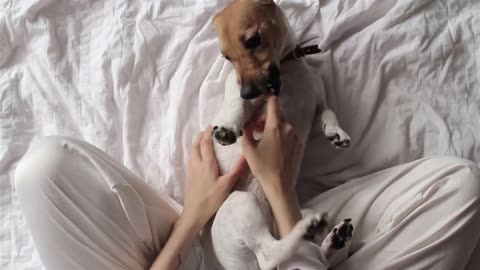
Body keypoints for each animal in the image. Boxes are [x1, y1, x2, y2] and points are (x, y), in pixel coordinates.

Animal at [200, 1, 352, 268]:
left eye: (253, 40)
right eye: (226, 57)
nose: (248, 92)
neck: (288, 67)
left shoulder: (317, 103)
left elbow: (329, 113)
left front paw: (336, 133)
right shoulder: (243, 99)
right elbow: (235, 104)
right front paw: (227, 127)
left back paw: (334, 239)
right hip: (241, 201)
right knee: (269, 254)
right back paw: (306, 230)